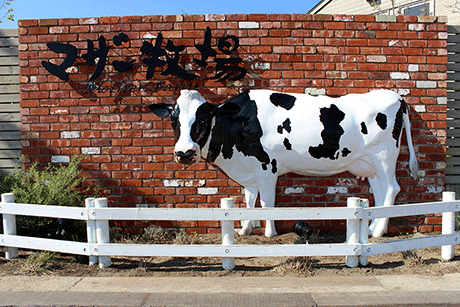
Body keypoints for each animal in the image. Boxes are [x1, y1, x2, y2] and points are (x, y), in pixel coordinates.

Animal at [149, 89, 418, 238]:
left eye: (203, 118)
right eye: (173, 120)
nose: (184, 153)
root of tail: (396, 96)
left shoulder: (267, 167)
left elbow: (266, 203)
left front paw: (269, 232)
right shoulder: (250, 171)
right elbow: (249, 201)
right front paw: (245, 230)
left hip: (384, 156)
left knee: (392, 189)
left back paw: (378, 230)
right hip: (370, 164)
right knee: (380, 192)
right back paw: (372, 228)